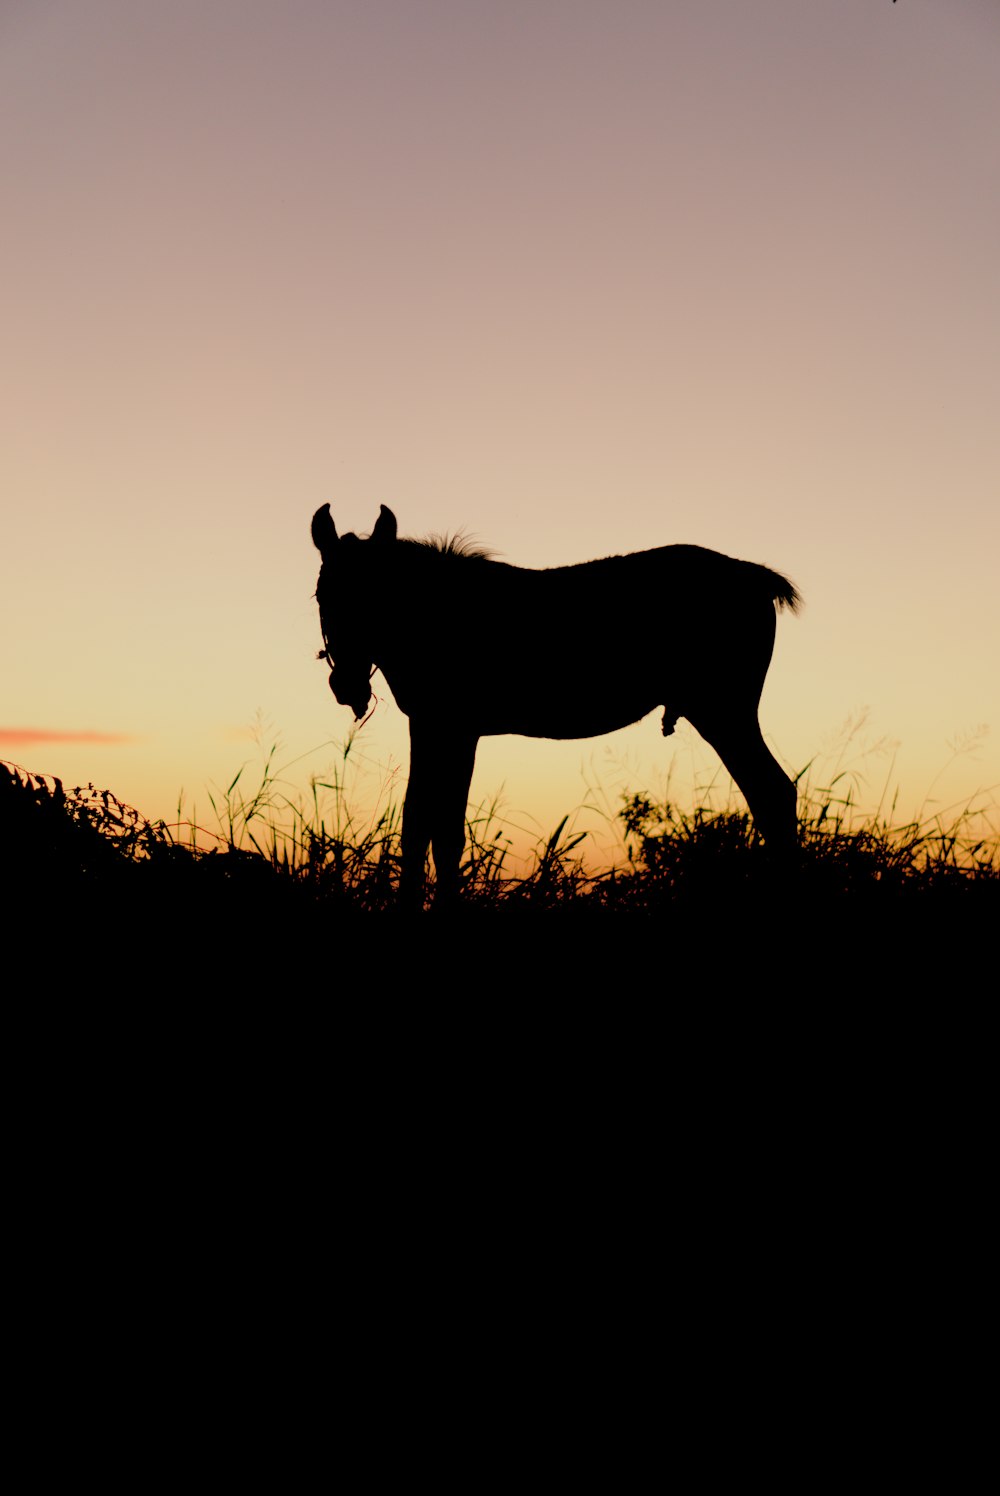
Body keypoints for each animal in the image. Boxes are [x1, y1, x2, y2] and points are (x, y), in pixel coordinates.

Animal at [308, 502, 802, 903]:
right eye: (322, 596)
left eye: (376, 594)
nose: (347, 686)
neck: (432, 614)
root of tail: (758, 578)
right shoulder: (432, 726)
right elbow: (418, 825)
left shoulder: (456, 727)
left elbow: (443, 831)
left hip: (724, 713)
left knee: (774, 793)